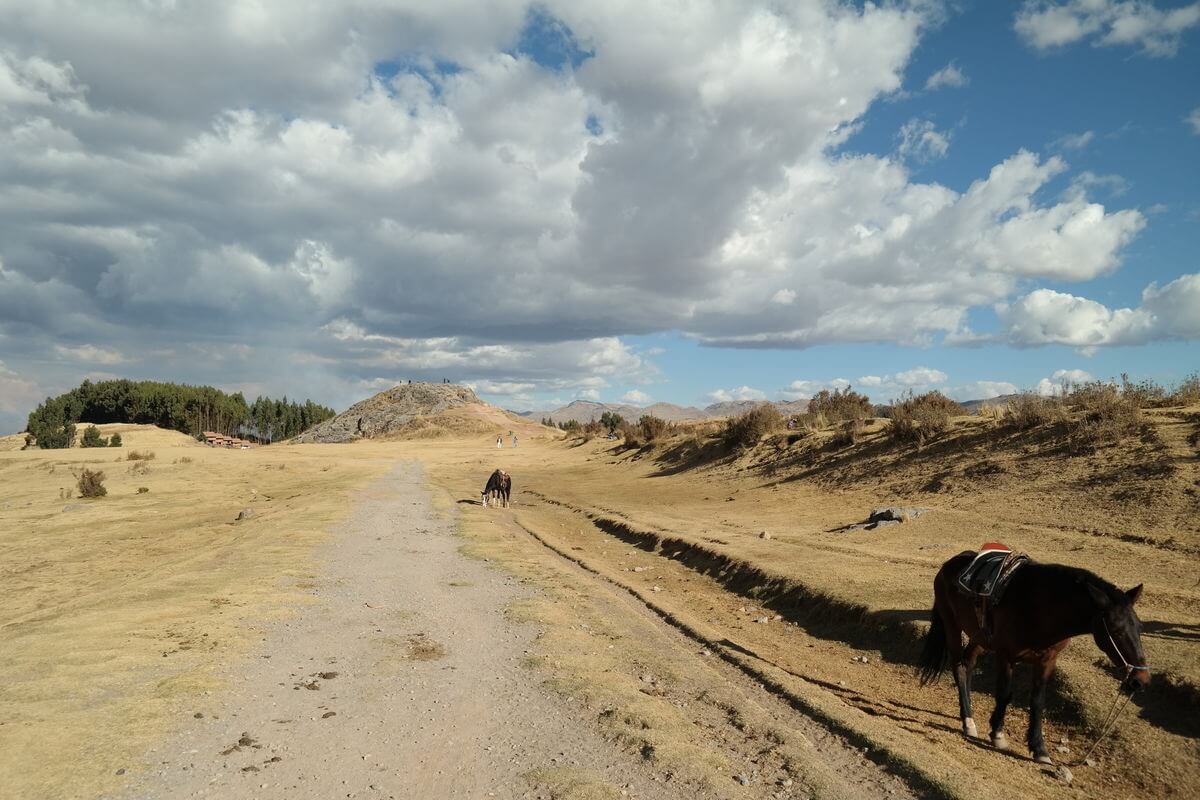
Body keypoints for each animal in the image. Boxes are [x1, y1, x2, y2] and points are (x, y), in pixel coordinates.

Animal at [916, 551, 1152, 762]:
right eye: (1116, 629)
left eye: (1140, 627)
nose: (1140, 680)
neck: (1040, 608)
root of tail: (948, 565)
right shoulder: (1006, 655)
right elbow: (1005, 693)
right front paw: (998, 734)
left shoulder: (1046, 661)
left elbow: (1038, 701)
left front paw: (1039, 749)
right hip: (952, 626)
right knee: (958, 667)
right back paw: (967, 720)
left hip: (979, 637)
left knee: (968, 663)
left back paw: (969, 711)